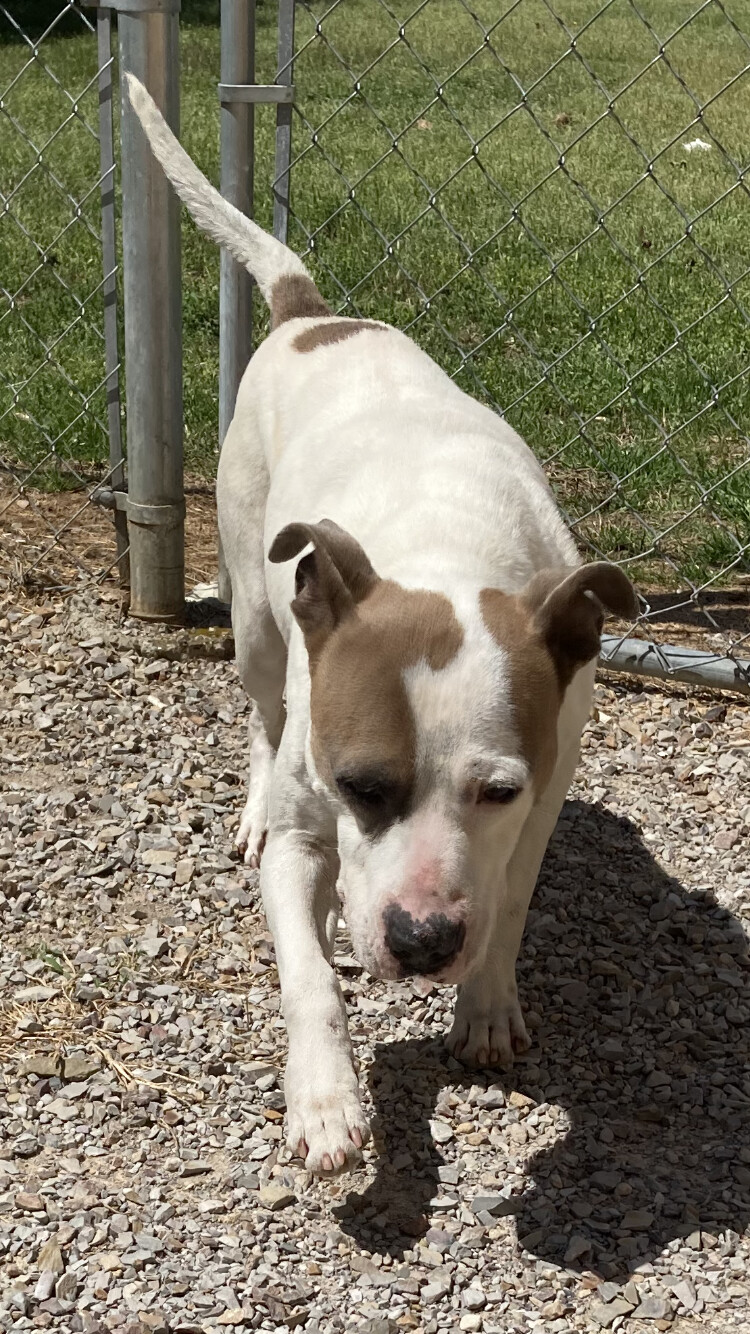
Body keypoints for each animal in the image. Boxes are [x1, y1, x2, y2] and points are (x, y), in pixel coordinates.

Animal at [125, 75, 632, 1179]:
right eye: (362, 785)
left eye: (497, 790)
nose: (423, 941)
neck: (444, 552)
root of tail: (311, 312)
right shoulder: (308, 834)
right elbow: (310, 975)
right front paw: (324, 1101)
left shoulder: (544, 792)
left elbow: (510, 899)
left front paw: (485, 1002)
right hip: (257, 620)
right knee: (263, 714)